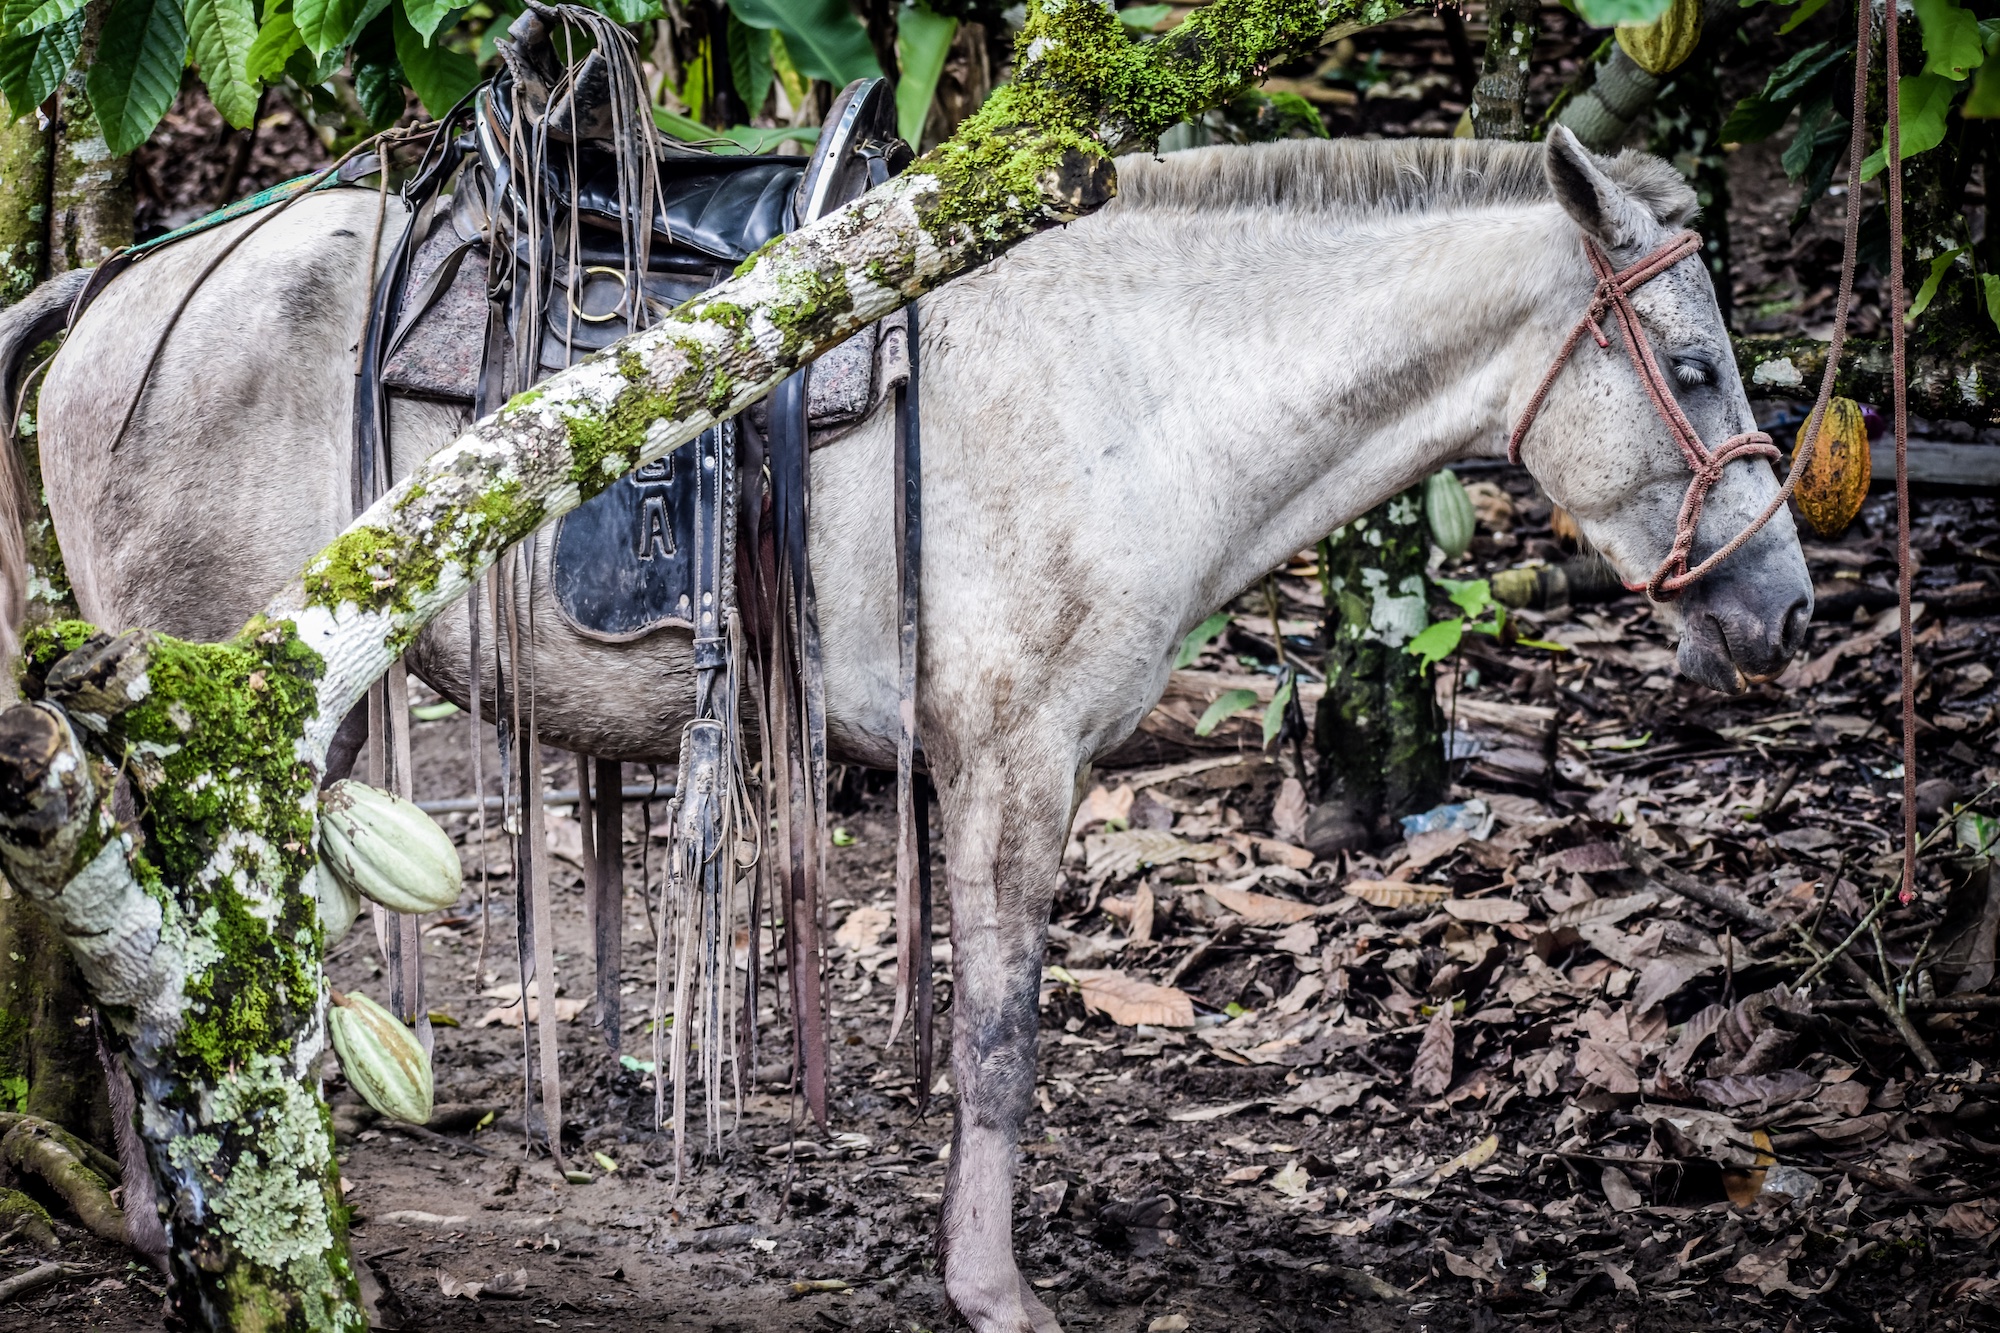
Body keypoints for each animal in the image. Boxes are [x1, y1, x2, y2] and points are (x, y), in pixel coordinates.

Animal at [7, 127, 1816, 1328]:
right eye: (1699, 370)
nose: (1789, 610)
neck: (1143, 386)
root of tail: (121, 293)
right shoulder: (1015, 759)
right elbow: (1004, 1029)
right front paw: (991, 1282)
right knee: (156, 967)